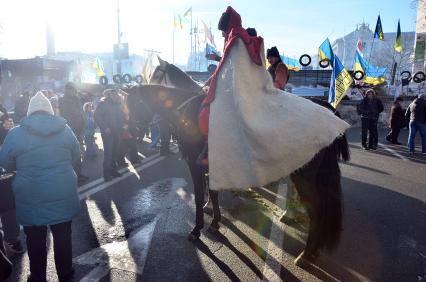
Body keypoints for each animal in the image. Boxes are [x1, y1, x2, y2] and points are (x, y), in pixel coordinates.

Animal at [123, 61, 350, 266]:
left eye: (135, 104)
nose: (134, 131)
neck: (190, 112)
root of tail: (329, 111)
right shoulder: (211, 166)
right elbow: (213, 193)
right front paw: (215, 222)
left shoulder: (196, 166)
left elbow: (200, 196)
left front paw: (197, 229)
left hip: (305, 176)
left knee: (317, 210)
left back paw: (306, 252)